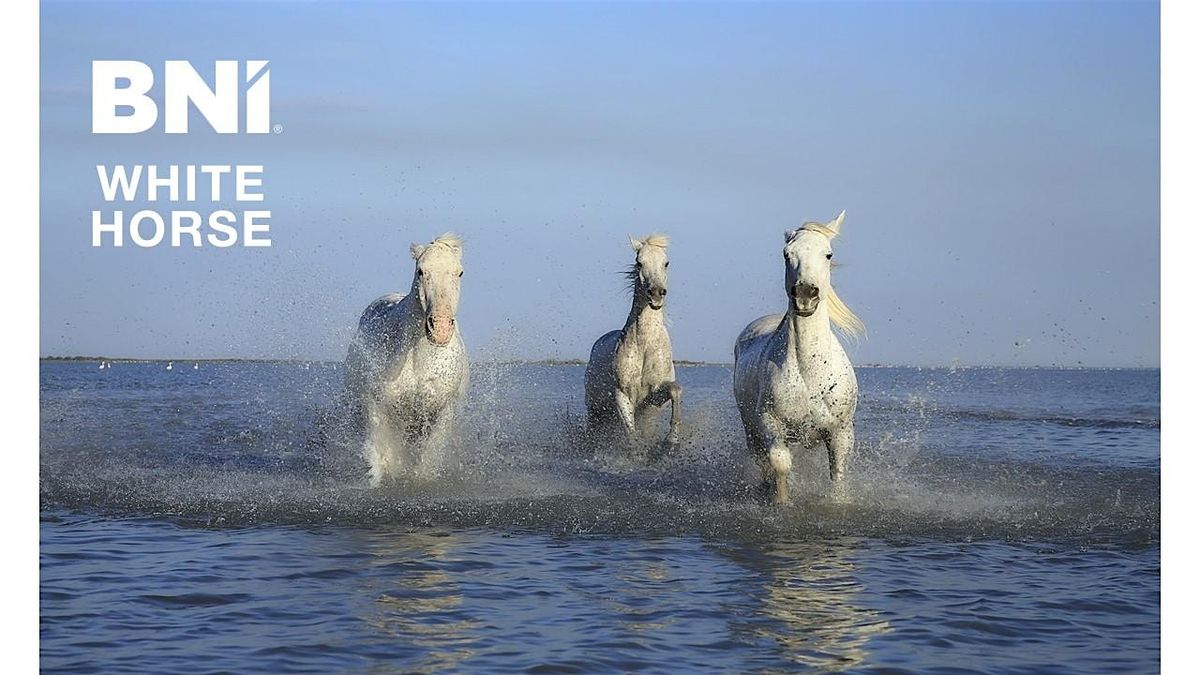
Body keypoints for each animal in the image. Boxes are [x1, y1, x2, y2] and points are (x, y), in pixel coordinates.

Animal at [343, 233, 469, 485]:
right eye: (420, 271)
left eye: (459, 272)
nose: (440, 329)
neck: (418, 358)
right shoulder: (379, 405)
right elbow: (383, 456)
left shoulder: (442, 411)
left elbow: (428, 458)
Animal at [585, 234, 682, 451]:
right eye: (639, 262)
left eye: (666, 263)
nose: (656, 293)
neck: (645, 345)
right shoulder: (622, 395)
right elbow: (631, 434)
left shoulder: (653, 398)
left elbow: (675, 390)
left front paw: (672, 440)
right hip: (595, 411)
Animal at [733, 211, 864, 504]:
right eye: (786, 254)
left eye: (828, 254)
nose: (805, 295)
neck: (810, 372)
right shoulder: (770, 425)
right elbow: (780, 464)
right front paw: (782, 502)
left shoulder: (840, 433)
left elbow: (837, 475)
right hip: (750, 429)